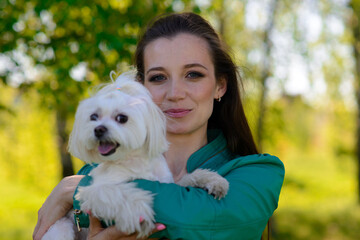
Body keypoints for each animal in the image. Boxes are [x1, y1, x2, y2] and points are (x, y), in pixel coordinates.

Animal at [41, 71, 228, 240]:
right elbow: (117, 193)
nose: (98, 129)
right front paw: (138, 213)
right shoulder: (90, 190)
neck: (133, 160)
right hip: (61, 229)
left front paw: (213, 180)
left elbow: (186, 180)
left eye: (122, 118)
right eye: (93, 117)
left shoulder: (166, 182)